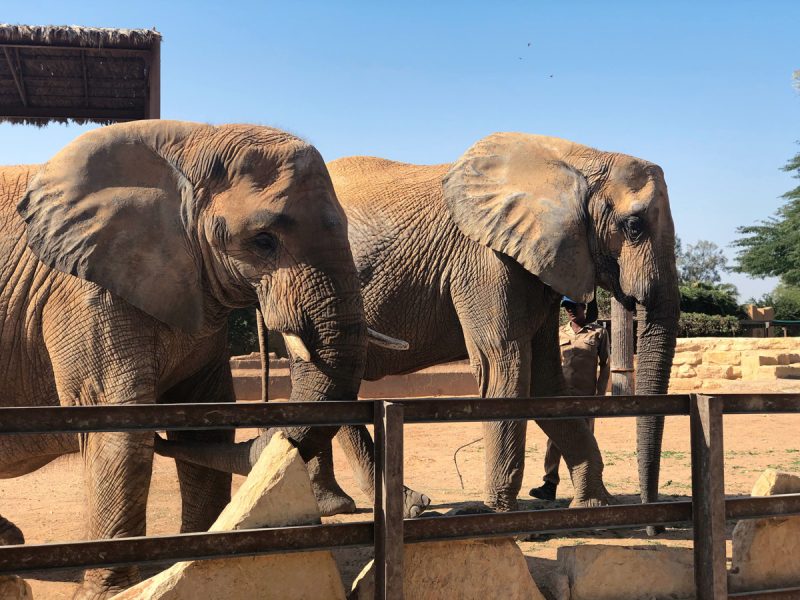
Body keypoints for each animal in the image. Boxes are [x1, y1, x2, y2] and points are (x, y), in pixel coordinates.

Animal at [0, 119, 404, 596]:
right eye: (263, 241)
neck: (191, 145)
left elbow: (206, 420)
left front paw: (197, 563)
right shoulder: (81, 290)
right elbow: (117, 423)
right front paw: (113, 593)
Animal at [161, 132, 680, 520]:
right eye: (634, 226)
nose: (654, 520)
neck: (576, 158)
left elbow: (548, 384)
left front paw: (596, 508)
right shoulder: (483, 260)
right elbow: (504, 366)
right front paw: (495, 516)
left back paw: (344, 506)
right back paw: (393, 508)